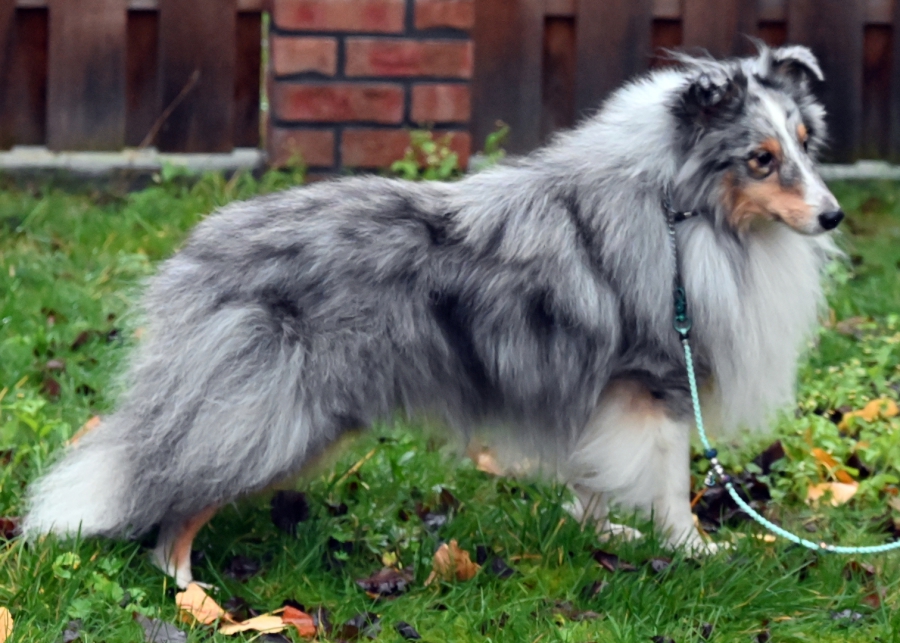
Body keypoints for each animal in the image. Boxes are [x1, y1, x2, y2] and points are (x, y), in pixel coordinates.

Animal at [24, 44, 842, 588]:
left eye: (805, 145)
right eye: (760, 159)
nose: (833, 216)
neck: (682, 210)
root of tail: (195, 256)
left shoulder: (600, 391)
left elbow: (593, 471)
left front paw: (600, 527)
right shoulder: (657, 381)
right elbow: (671, 483)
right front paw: (697, 551)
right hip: (270, 412)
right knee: (176, 505)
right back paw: (197, 599)